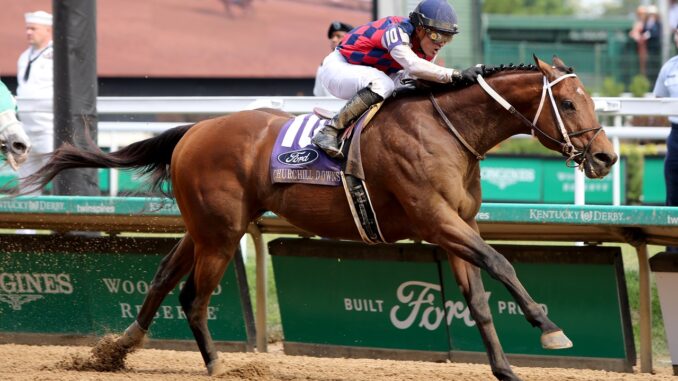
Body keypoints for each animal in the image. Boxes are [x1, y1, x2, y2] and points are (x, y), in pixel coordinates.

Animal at [25, 57, 620, 380]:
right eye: (570, 105)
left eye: (592, 102)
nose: (607, 157)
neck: (448, 129)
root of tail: (195, 129)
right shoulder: (435, 220)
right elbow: (502, 263)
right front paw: (549, 327)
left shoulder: (457, 227)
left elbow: (477, 299)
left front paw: (505, 367)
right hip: (221, 233)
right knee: (193, 295)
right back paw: (218, 365)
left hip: (207, 228)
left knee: (162, 278)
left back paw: (118, 348)